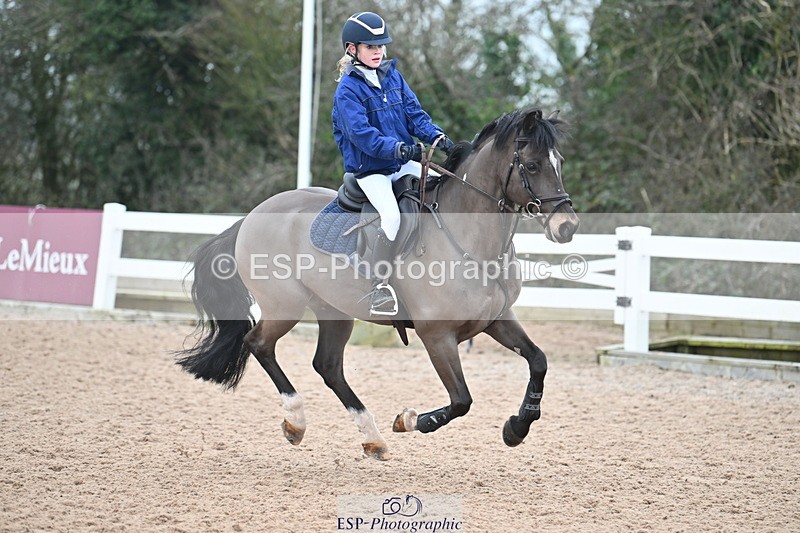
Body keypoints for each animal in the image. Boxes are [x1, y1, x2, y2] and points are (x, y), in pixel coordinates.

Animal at [176, 107, 579, 460]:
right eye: (532, 165)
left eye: (559, 163)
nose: (567, 227)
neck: (468, 240)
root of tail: (252, 216)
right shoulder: (437, 335)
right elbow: (462, 400)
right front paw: (410, 420)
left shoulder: (496, 320)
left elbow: (539, 361)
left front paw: (517, 427)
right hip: (284, 307)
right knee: (259, 344)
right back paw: (296, 422)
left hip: (334, 311)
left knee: (328, 366)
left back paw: (372, 439)